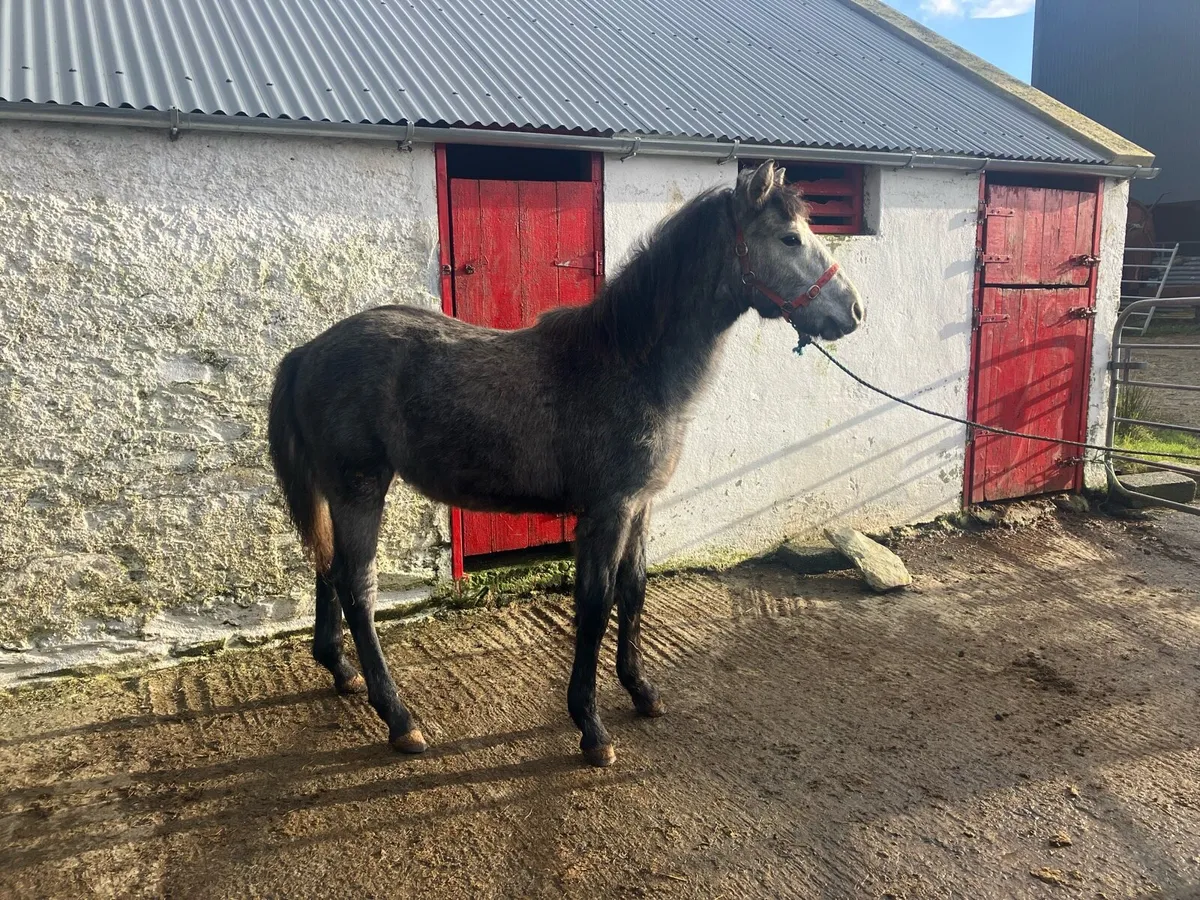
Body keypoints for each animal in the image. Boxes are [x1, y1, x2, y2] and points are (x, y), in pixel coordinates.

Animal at [267, 160, 865, 767]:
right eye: (789, 238)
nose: (853, 311)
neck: (629, 363)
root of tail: (309, 351)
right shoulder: (607, 512)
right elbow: (596, 605)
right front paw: (591, 727)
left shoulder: (640, 506)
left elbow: (634, 591)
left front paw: (642, 691)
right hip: (360, 488)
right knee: (357, 588)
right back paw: (399, 719)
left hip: (336, 490)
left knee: (327, 568)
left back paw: (342, 672)